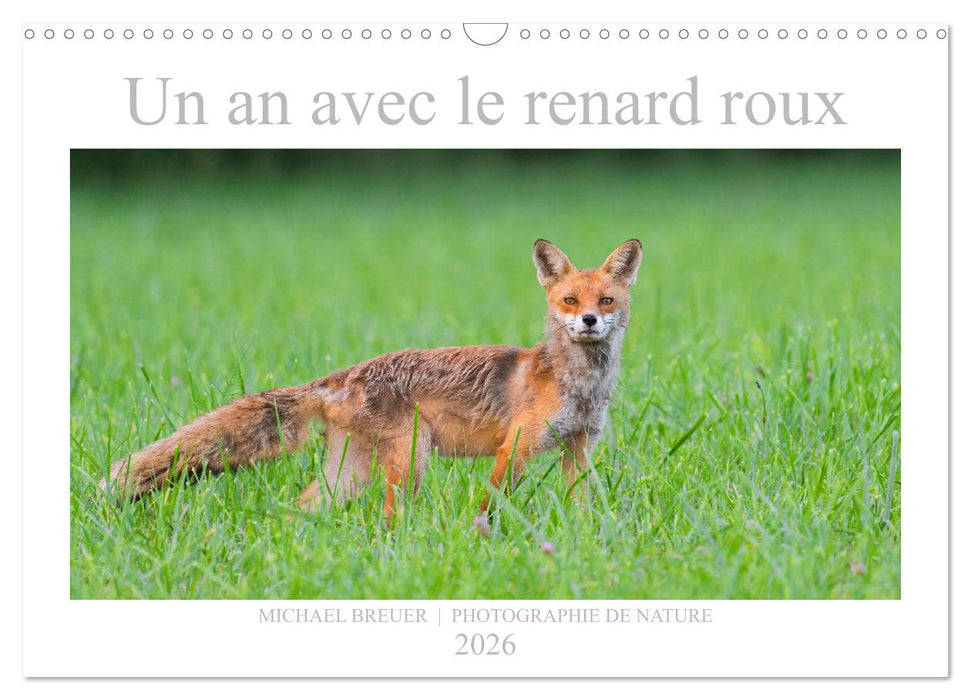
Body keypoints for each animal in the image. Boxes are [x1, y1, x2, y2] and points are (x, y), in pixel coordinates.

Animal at [102, 239, 642, 520]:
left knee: (304, 504)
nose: (589, 321)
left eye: (606, 300)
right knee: (387, 516)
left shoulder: (578, 447)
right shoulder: (516, 447)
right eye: (570, 300)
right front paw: (482, 537)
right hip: (409, 460)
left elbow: (583, 504)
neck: (577, 384)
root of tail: (342, 374)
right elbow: (491, 503)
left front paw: (586, 541)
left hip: (350, 471)